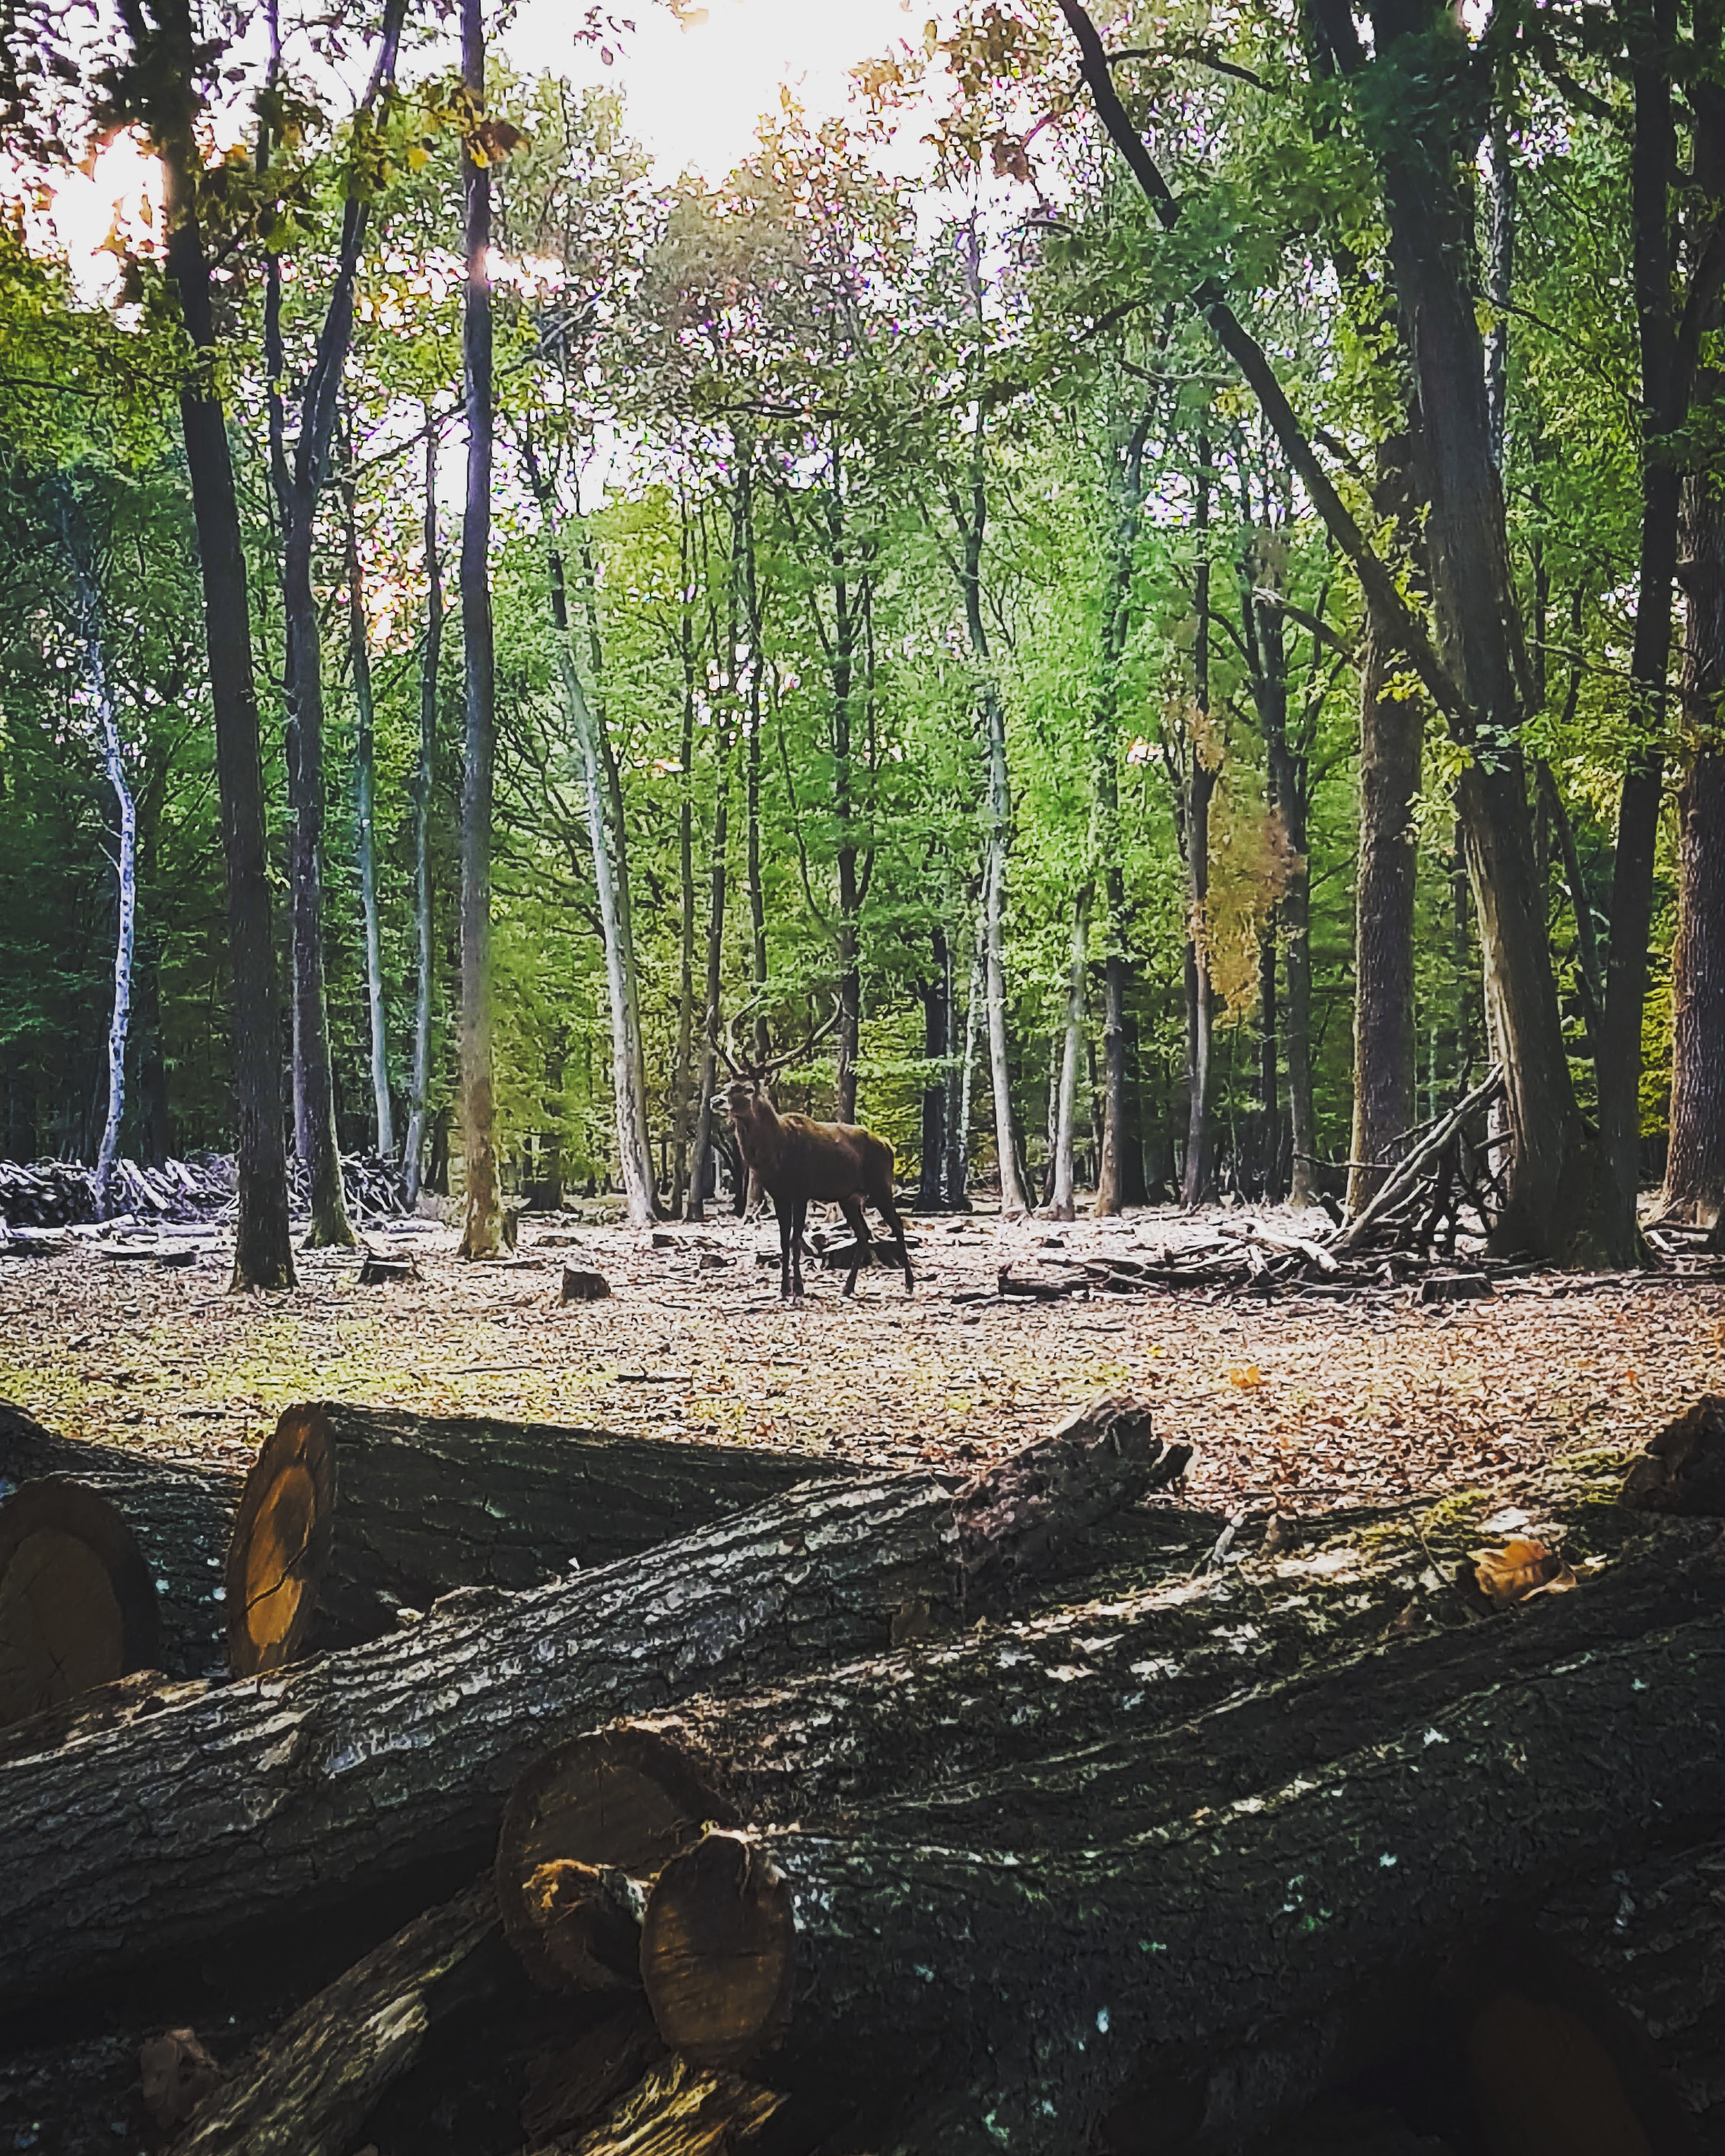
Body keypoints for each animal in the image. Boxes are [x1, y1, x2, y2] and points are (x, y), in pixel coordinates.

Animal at [714, 1022, 913, 1302]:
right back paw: (847, 1288)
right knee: (863, 1235)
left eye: (748, 1088)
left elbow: (796, 1239)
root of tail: (888, 1145)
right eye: (728, 1083)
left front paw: (798, 1289)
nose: (716, 1100)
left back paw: (909, 1285)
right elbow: (783, 1241)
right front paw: (783, 1290)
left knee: (897, 1227)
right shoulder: (779, 1195)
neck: (775, 1155)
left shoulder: (801, 1191)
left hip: (881, 1185)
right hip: (850, 1196)